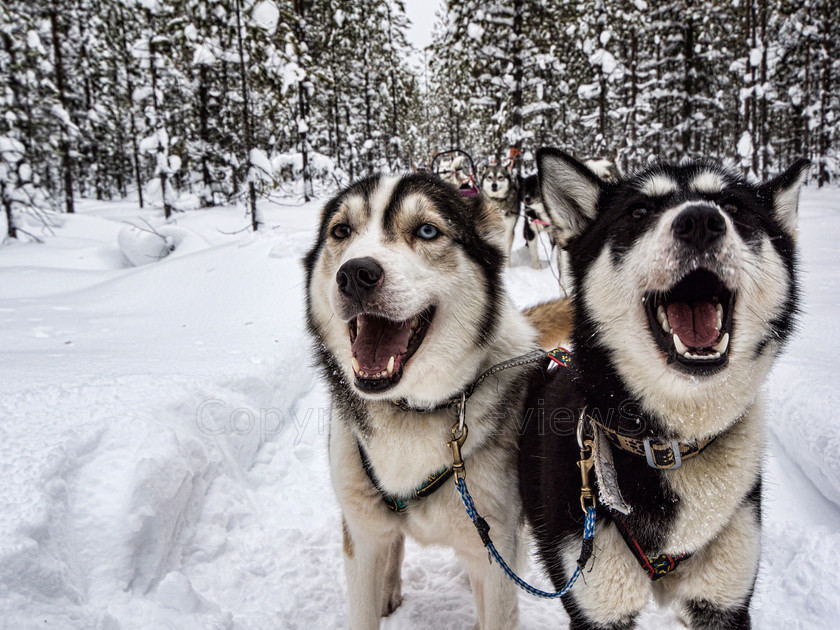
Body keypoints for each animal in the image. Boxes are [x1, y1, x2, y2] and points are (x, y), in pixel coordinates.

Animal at [308, 173, 540, 630]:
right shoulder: (360, 539)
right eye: (341, 231)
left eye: (428, 231)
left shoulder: (495, 559)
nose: (355, 273)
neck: (411, 409)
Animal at [520, 149, 808, 630]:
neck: (670, 444)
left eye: (733, 206)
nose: (701, 221)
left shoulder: (724, 603)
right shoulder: (597, 608)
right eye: (638, 212)